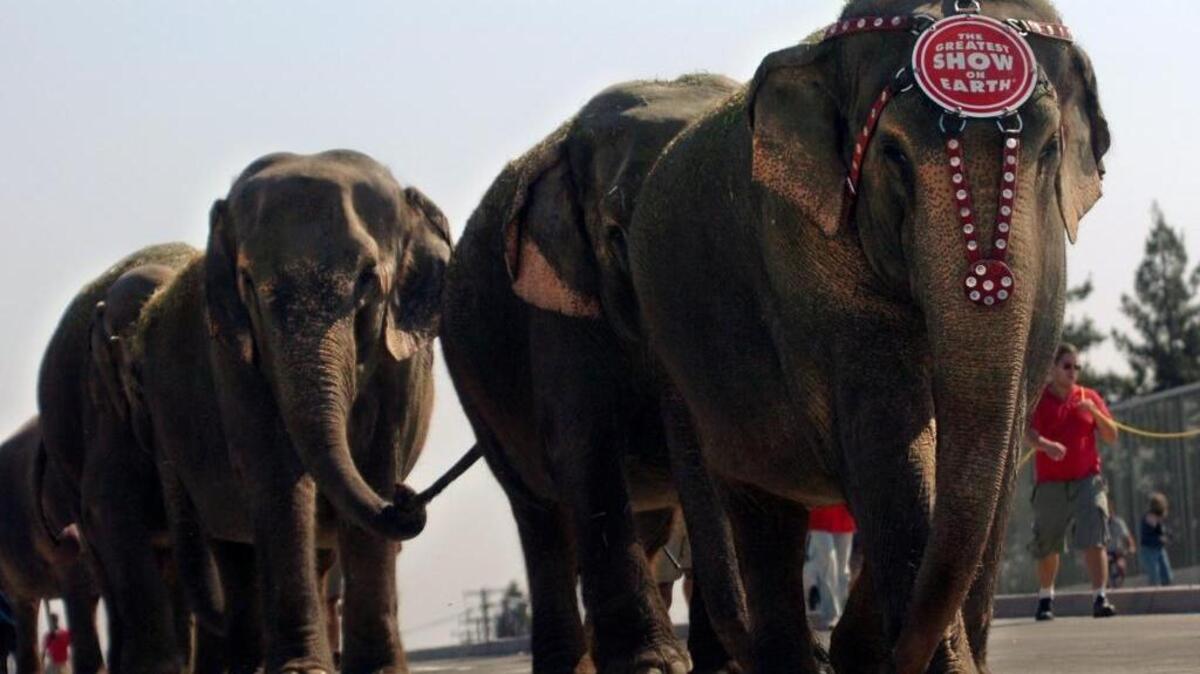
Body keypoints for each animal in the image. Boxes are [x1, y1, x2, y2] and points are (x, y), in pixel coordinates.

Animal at [121, 150, 450, 673]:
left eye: (368, 278)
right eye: (247, 281)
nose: (407, 502)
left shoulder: (401, 362)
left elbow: (376, 461)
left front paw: (377, 669)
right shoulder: (233, 353)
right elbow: (275, 468)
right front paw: (302, 670)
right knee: (233, 552)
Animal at [441, 75, 751, 674]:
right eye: (614, 236)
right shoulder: (556, 311)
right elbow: (584, 451)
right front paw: (651, 667)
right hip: (474, 386)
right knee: (539, 517)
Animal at [626, 1, 1108, 672]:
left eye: (1049, 150)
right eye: (894, 154)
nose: (894, 654)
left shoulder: (1048, 275)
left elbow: (1002, 438)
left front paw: (877, 649)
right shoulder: (809, 257)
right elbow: (889, 444)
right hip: (688, 368)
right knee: (758, 514)